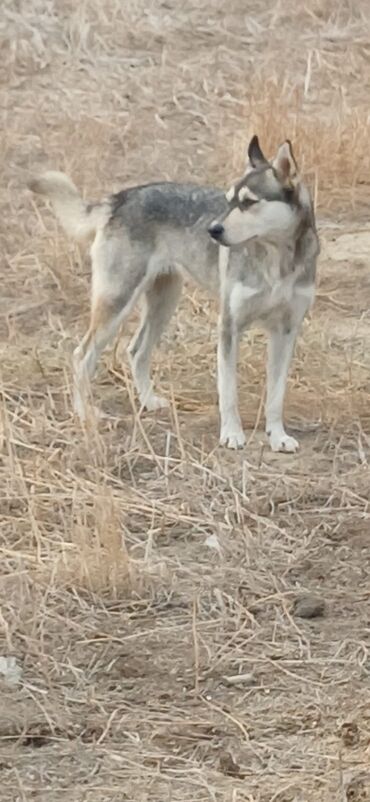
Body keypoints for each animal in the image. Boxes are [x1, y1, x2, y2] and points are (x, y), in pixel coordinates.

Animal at [28, 136, 318, 450]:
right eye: (229, 201)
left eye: (249, 202)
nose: (212, 230)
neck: (278, 261)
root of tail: (120, 198)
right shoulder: (229, 327)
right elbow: (228, 393)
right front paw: (231, 433)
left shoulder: (286, 333)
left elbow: (276, 397)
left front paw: (278, 437)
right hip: (117, 304)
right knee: (81, 357)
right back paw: (86, 414)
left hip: (164, 304)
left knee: (136, 351)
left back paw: (147, 401)